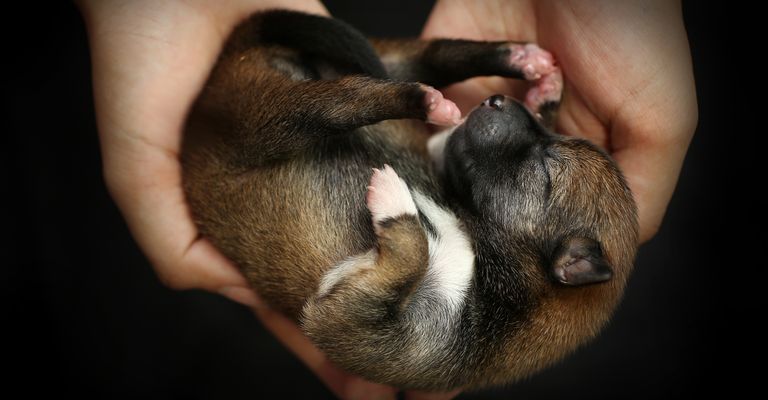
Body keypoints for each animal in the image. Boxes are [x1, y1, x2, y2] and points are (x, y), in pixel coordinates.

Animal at [180, 9, 636, 390]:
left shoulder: (353, 329)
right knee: (421, 61)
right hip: (333, 84)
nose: (497, 101)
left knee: (342, 101)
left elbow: (412, 249)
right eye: (550, 136)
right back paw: (517, 58)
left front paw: (395, 200)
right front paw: (543, 97)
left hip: (268, 122)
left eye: (545, 168)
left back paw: (427, 101)